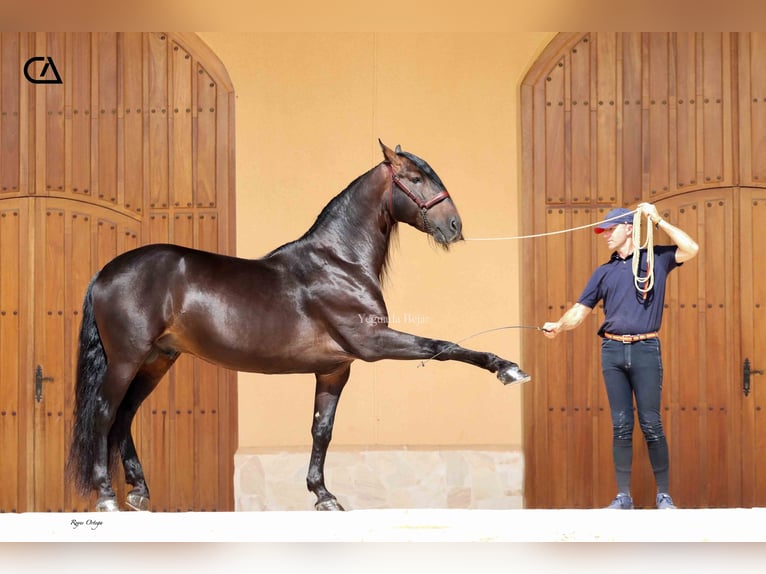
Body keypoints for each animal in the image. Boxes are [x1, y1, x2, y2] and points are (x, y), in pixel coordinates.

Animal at [67, 143, 528, 512]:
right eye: (415, 178)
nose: (454, 227)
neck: (340, 261)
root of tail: (105, 272)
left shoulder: (334, 368)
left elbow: (321, 430)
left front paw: (323, 495)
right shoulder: (372, 344)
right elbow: (442, 346)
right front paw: (507, 369)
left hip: (156, 360)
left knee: (125, 415)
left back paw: (139, 491)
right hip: (126, 359)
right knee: (105, 413)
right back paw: (107, 497)